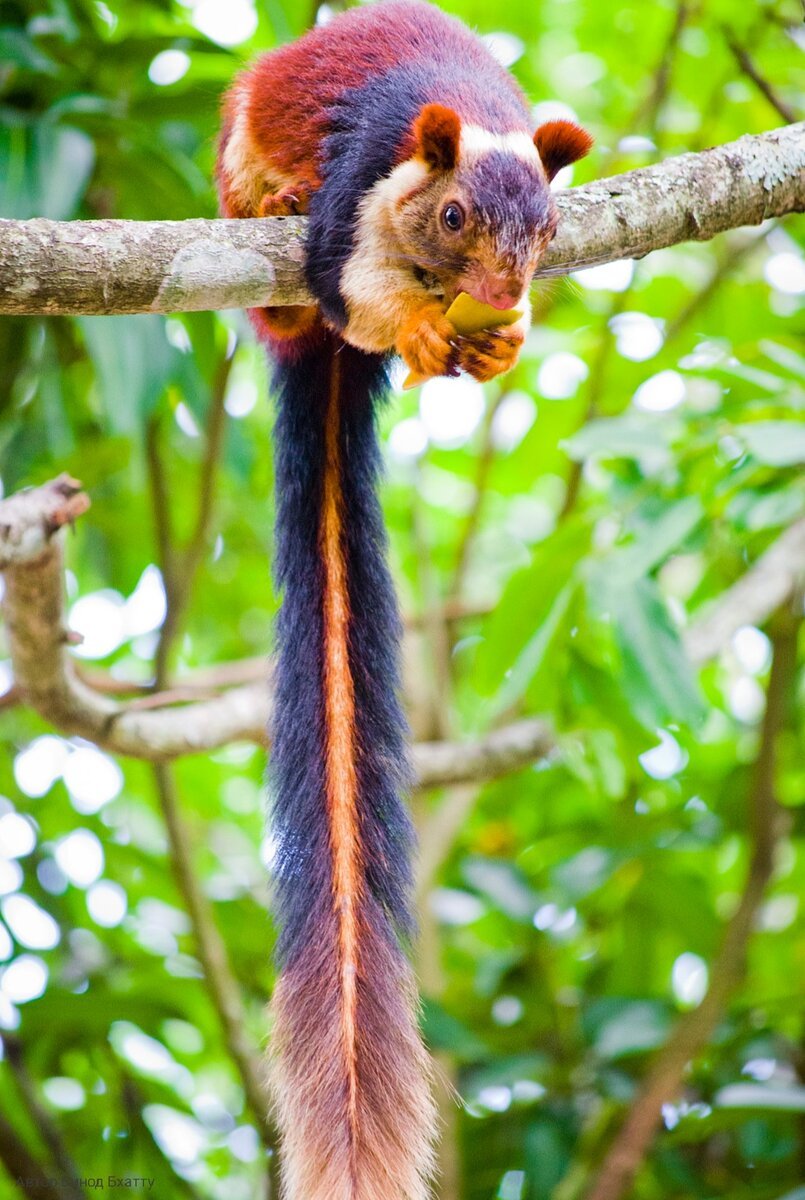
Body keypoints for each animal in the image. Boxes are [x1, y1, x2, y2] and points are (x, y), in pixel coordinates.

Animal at [217, 3, 591, 1197]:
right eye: (455, 213)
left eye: (549, 232)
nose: (505, 293)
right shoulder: (357, 196)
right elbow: (353, 289)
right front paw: (424, 333)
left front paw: (503, 342)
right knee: (295, 289)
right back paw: (267, 214)